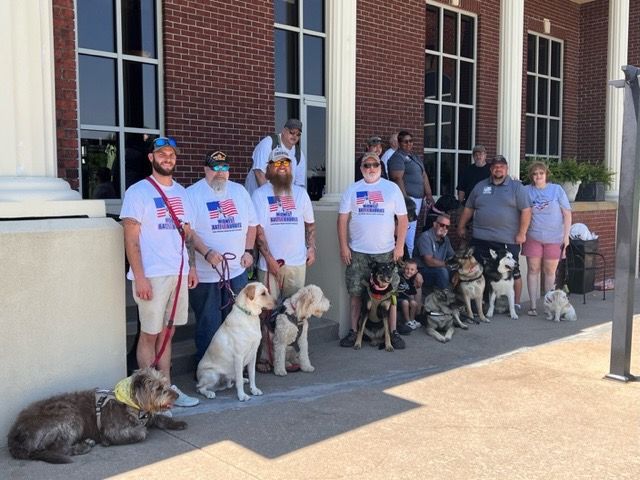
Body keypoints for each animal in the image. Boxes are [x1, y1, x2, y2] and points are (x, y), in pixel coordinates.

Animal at [8, 368, 188, 464]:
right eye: (158, 388)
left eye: (165, 384)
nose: (176, 396)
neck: (131, 403)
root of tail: (13, 436)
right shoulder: (114, 429)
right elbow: (141, 432)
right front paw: (107, 441)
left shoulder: (149, 416)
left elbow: (160, 418)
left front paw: (177, 423)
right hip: (71, 417)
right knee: (60, 448)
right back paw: (83, 446)